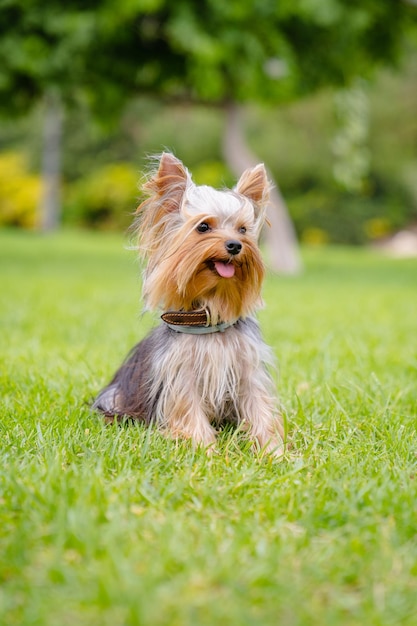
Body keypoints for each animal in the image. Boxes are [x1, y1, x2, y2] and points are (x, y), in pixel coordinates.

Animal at [92, 151, 284, 454]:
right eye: (203, 227)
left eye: (243, 229)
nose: (235, 245)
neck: (210, 315)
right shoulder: (180, 375)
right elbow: (189, 411)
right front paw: (207, 451)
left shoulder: (247, 370)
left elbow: (259, 409)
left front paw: (274, 452)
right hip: (116, 395)